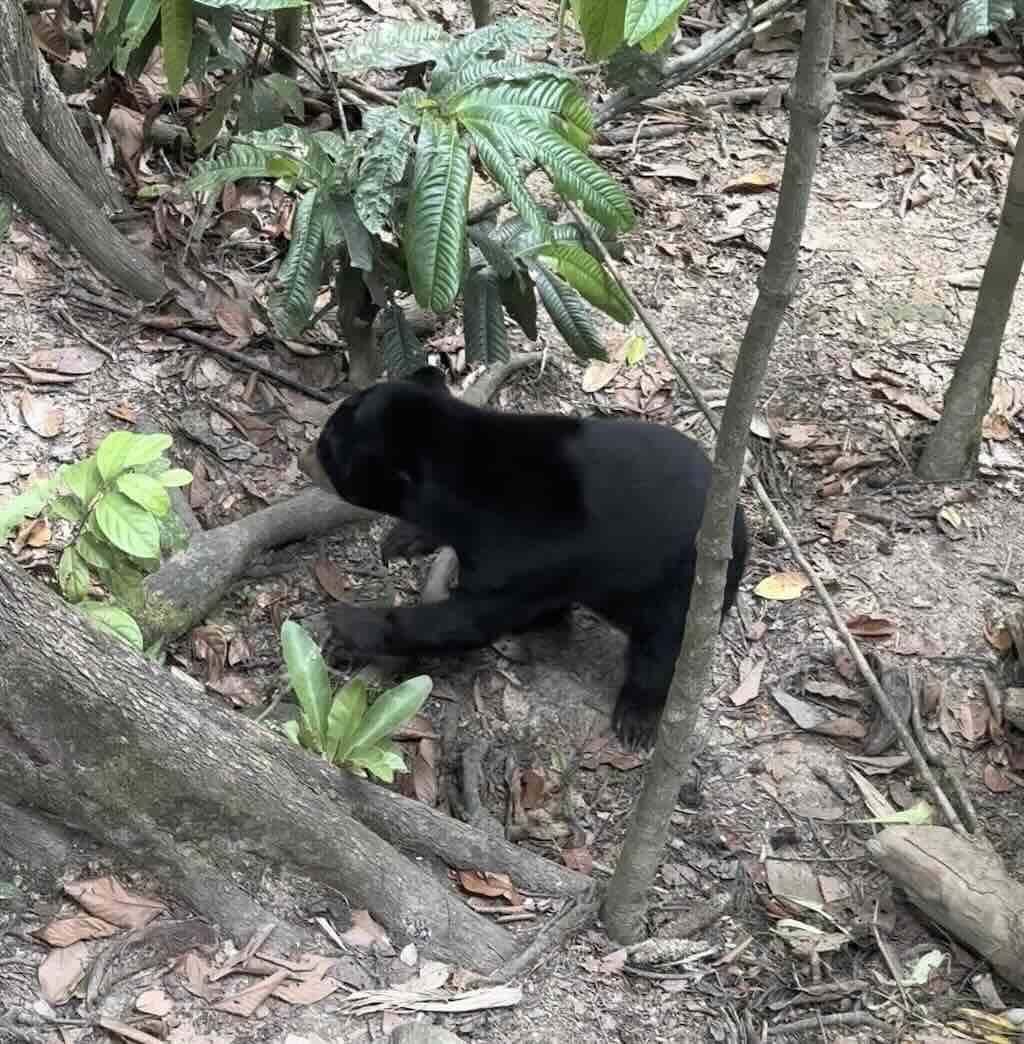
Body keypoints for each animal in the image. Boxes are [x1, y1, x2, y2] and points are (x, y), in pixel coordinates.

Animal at [300, 367, 747, 751]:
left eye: (327, 450)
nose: (303, 459)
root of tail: (739, 532)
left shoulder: (516, 555)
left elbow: (465, 620)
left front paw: (344, 622)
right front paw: (403, 539)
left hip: (678, 590)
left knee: (660, 650)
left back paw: (635, 718)